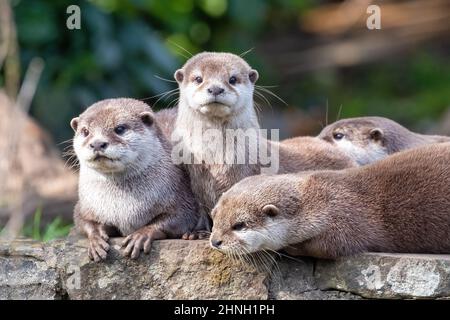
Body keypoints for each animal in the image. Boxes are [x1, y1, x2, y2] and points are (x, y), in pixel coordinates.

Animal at [71, 99, 204, 262]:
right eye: (85, 131)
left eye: (120, 128)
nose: (97, 143)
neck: (123, 206)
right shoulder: (85, 205)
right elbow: (82, 220)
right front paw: (96, 239)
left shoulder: (180, 194)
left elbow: (181, 217)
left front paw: (141, 234)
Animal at [172, 52, 356, 224]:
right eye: (198, 78)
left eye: (232, 79)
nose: (216, 89)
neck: (216, 160)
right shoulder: (196, 179)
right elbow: (201, 206)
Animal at [210, 144, 450, 258]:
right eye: (214, 218)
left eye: (239, 225)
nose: (215, 241)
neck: (318, 199)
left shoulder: (347, 217)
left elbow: (329, 247)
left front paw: (292, 248)